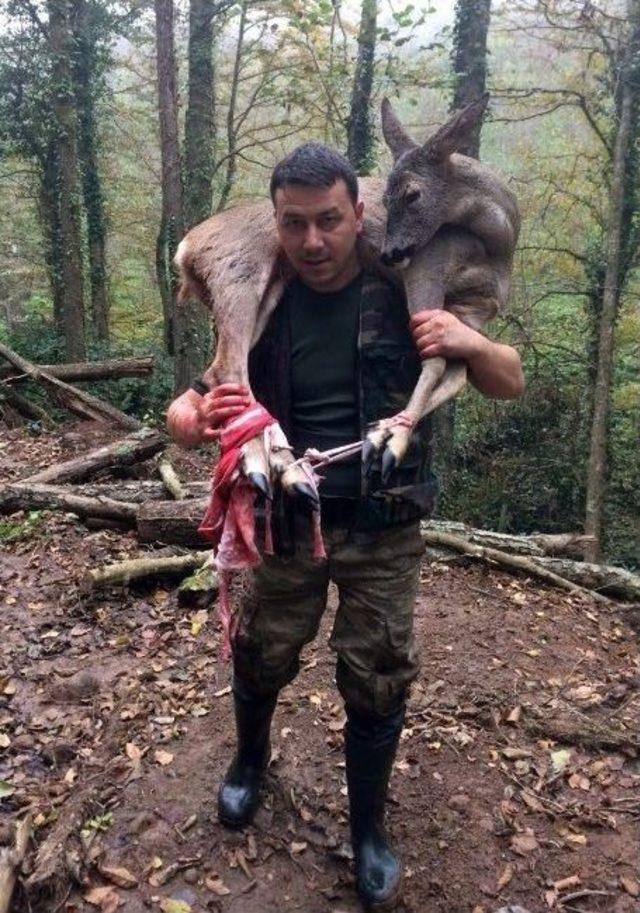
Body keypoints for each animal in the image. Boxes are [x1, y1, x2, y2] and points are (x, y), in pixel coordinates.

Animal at [174, 97, 520, 510]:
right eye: (386, 197)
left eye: (412, 194)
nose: (389, 253)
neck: (497, 245)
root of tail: (185, 249)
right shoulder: (427, 269)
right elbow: (436, 365)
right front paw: (394, 441)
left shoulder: (471, 310)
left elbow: (457, 374)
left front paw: (380, 433)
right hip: (240, 271)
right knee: (230, 368)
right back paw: (276, 467)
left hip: (269, 289)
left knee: (216, 372)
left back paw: (279, 462)